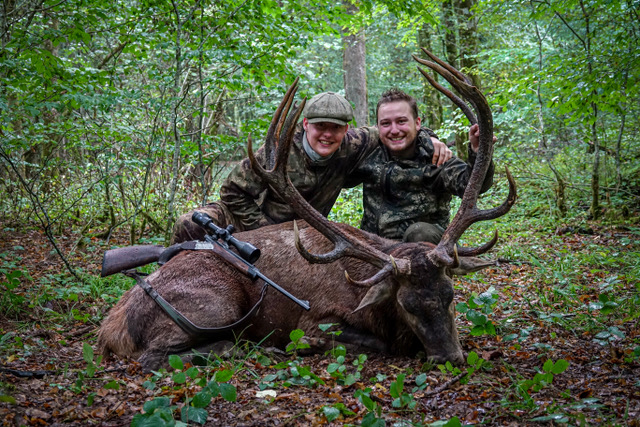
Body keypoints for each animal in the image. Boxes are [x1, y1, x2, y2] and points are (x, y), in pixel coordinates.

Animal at [97, 50, 516, 371]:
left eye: (450, 295)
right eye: (406, 303)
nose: (450, 358)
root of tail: (110, 330)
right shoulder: (313, 322)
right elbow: (364, 344)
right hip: (214, 303)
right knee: (155, 356)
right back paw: (246, 346)